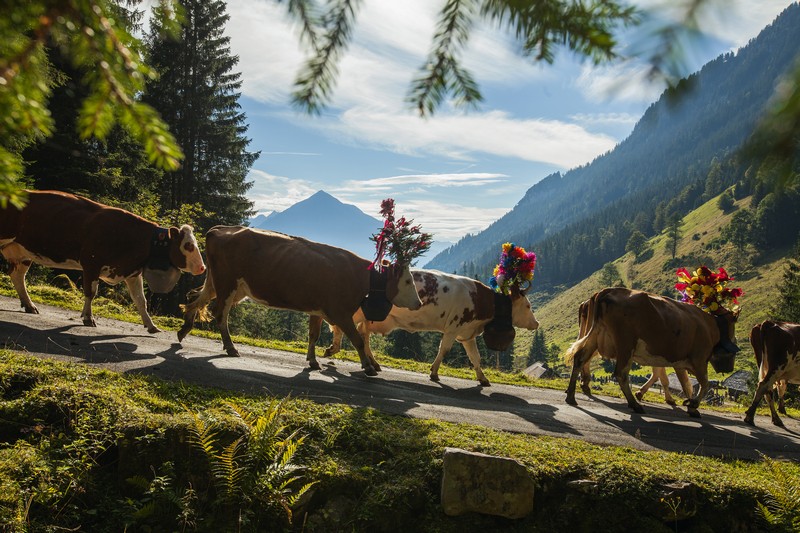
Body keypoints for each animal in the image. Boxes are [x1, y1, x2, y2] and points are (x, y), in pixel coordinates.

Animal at [0, 189, 206, 332]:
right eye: (188, 245)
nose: (202, 267)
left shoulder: (131, 272)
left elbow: (141, 300)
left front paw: (151, 325)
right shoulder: (91, 263)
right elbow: (91, 292)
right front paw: (88, 318)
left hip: (22, 253)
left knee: (17, 276)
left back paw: (29, 305)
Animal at [177, 224, 422, 374]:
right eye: (407, 281)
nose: (419, 303)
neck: (362, 278)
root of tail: (221, 229)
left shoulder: (318, 310)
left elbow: (313, 336)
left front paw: (313, 361)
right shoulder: (340, 313)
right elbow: (358, 340)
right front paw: (368, 367)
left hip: (225, 285)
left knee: (195, 299)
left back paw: (184, 329)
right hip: (227, 284)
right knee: (220, 314)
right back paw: (230, 347)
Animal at [316, 268, 540, 384]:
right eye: (528, 305)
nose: (536, 323)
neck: (480, 300)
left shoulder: (467, 333)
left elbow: (475, 357)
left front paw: (483, 378)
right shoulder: (453, 327)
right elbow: (444, 349)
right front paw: (434, 372)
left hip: (368, 317)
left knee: (363, 336)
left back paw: (373, 363)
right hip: (356, 312)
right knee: (341, 328)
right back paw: (333, 350)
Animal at [564, 286, 736, 416]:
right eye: (733, 326)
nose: (730, 368)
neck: (712, 326)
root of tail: (607, 291)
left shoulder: (678, 361)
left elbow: (682, 383)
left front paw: (689, 405)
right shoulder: (699, 359)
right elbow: (703, 384)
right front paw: (692, 404)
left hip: (596, 336)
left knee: (579, 358)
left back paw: (571, 396)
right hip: (625, 344)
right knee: (620, 373)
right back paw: (634, 404)